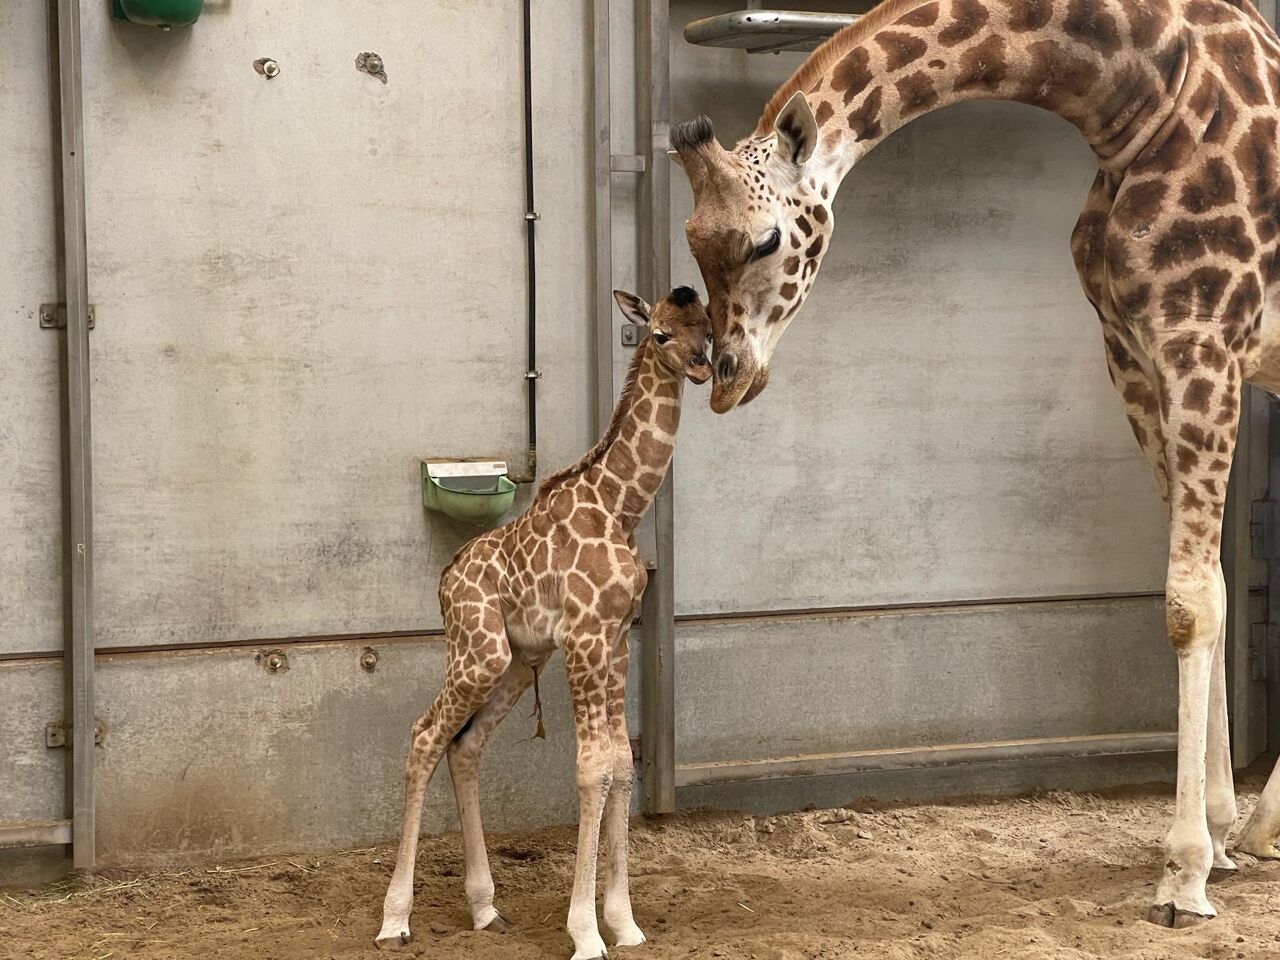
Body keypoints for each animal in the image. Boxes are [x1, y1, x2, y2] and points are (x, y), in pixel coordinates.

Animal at [373, 288, 716, 960]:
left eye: (708, 329)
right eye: (658, 334)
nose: (702, 368)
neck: (621, 509)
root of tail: (444, 581)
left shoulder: (617, 639)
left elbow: (620, 763)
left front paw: (625, 924)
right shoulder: (585, 638)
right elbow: (591, 769)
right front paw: (585, 932)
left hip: (515, 661)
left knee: (466, 747)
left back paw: (484, 908)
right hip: (477, 651)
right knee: (424, 737)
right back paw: (394, 919)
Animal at [675, 0, 1280, 931]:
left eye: (766, 238)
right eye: (693, 240)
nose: (727, 377)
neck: (1140, 96)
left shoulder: (1199, 342)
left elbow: (1189, 605)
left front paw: (1182, 876)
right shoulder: (1133, 353)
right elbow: (1207, 582)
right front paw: (1214, 838)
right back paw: (1257, 829)